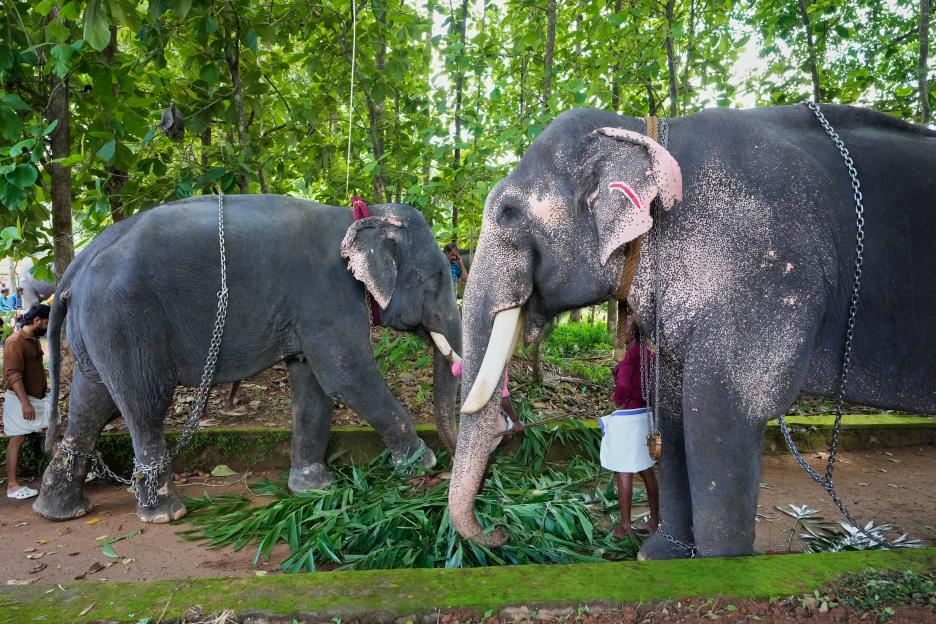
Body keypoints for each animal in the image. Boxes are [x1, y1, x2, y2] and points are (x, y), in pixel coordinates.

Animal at [34, 195, 462, 524]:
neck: (361, 212)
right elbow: (346, 376)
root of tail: (75, 266)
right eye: (439, 277)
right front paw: (422, 464)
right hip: (124, 320)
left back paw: (59, 510)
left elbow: (312, 387)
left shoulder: (307, 314)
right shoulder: (327, 298)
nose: (450, 456)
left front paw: (313, 489)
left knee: (91, 402)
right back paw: (166, 514)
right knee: (144, 403)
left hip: (96, 328)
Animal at [448, 104, 936, 559]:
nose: (501, 530)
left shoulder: (762, 272)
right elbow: (674, 407)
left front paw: (716, 567)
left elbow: (721, 410)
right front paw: (661, 555)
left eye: (508, 212)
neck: (648, 132)